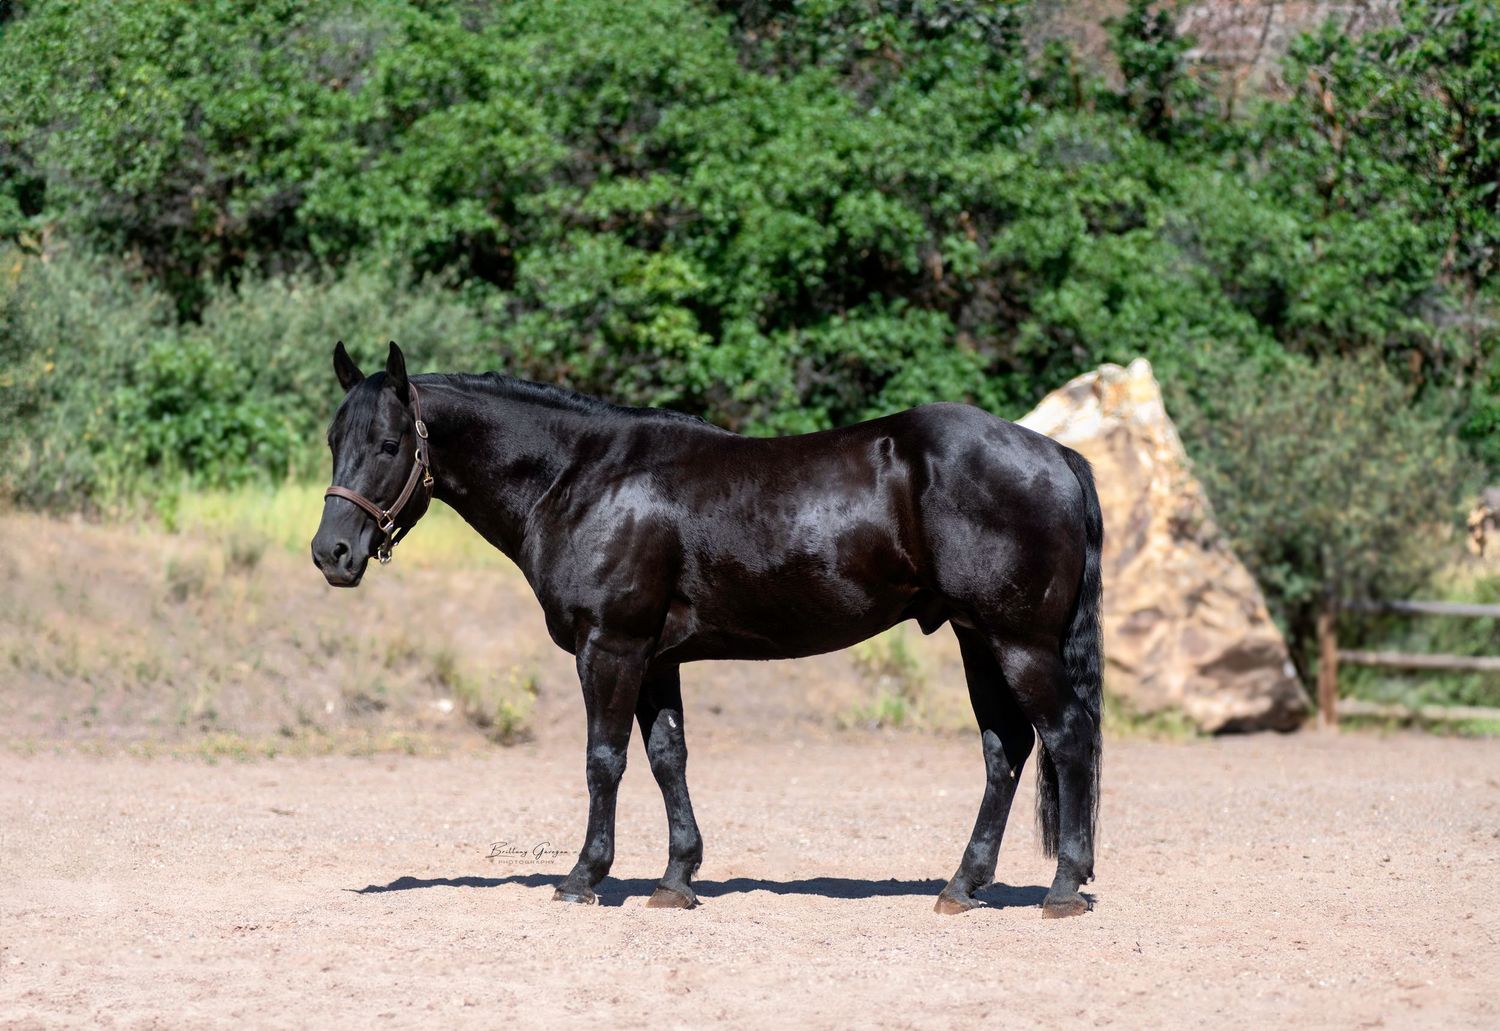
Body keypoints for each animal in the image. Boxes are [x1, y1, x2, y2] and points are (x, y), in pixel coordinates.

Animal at [311, 341, 1103, 918]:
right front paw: (676, 878)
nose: (331, 553)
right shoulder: (656, 658)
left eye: (388, 444)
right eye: (332, 439)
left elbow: (604, 759)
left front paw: (584, 876)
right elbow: (668, 757)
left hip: (1017, 642)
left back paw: (1063, 888)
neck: (579, 477)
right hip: (978, 640)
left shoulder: (611, 646)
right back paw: (962, 886)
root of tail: (1056, 455)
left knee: (1065, 736)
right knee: (1006, 750)